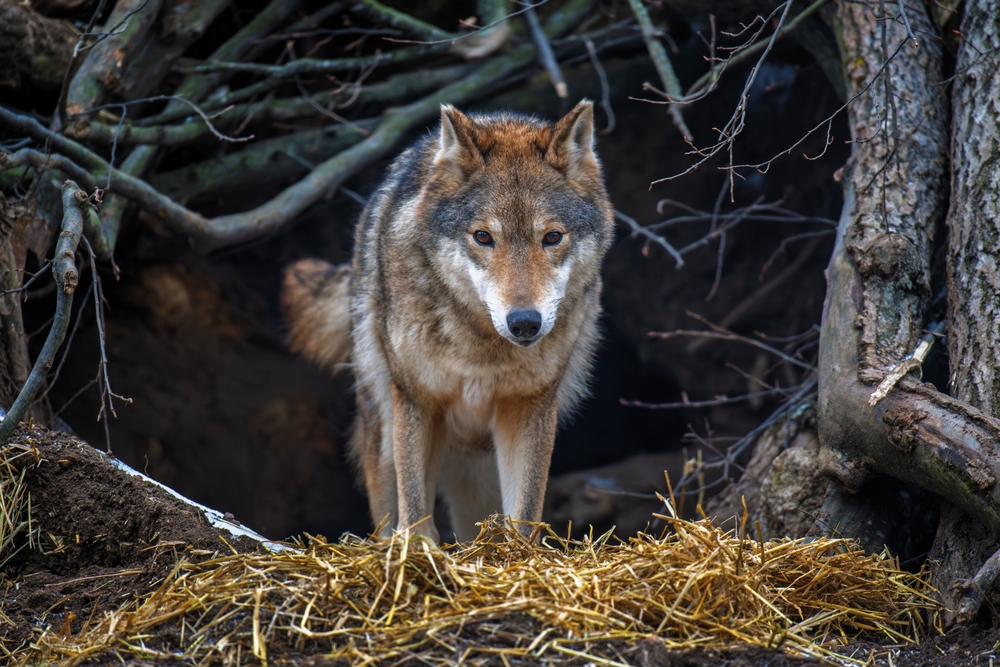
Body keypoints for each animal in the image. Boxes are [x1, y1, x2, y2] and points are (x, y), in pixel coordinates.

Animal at [281, 100, 614, 542]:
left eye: (552, 238)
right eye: (483, 237)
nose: (525, 322)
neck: (482, 349)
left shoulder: (530, 405)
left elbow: (526, 509)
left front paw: (519, 553)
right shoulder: (417, 399)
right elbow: (414, 503)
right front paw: (417, 549)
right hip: (384, 427)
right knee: (388, 503)